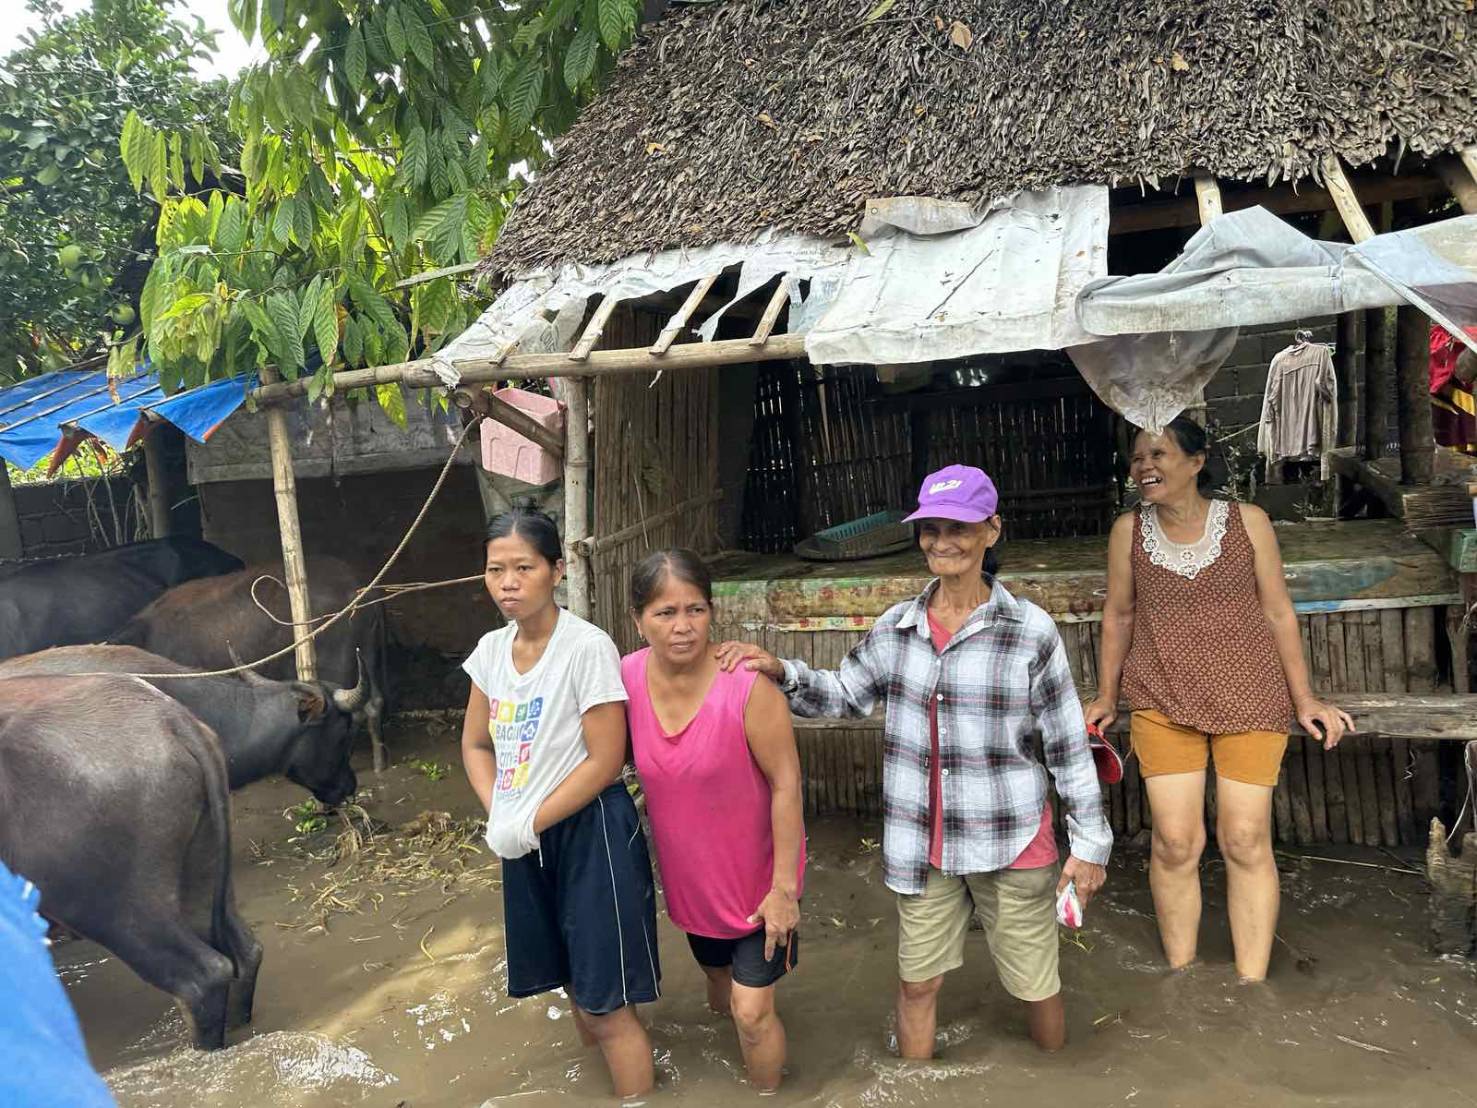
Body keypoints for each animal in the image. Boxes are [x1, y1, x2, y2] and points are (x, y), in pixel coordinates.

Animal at [113, 558, 386, 768]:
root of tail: (358, 589)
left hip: (339, 662)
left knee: (356, 710)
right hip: (367, 654)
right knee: (374, 702)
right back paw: (379, 762)